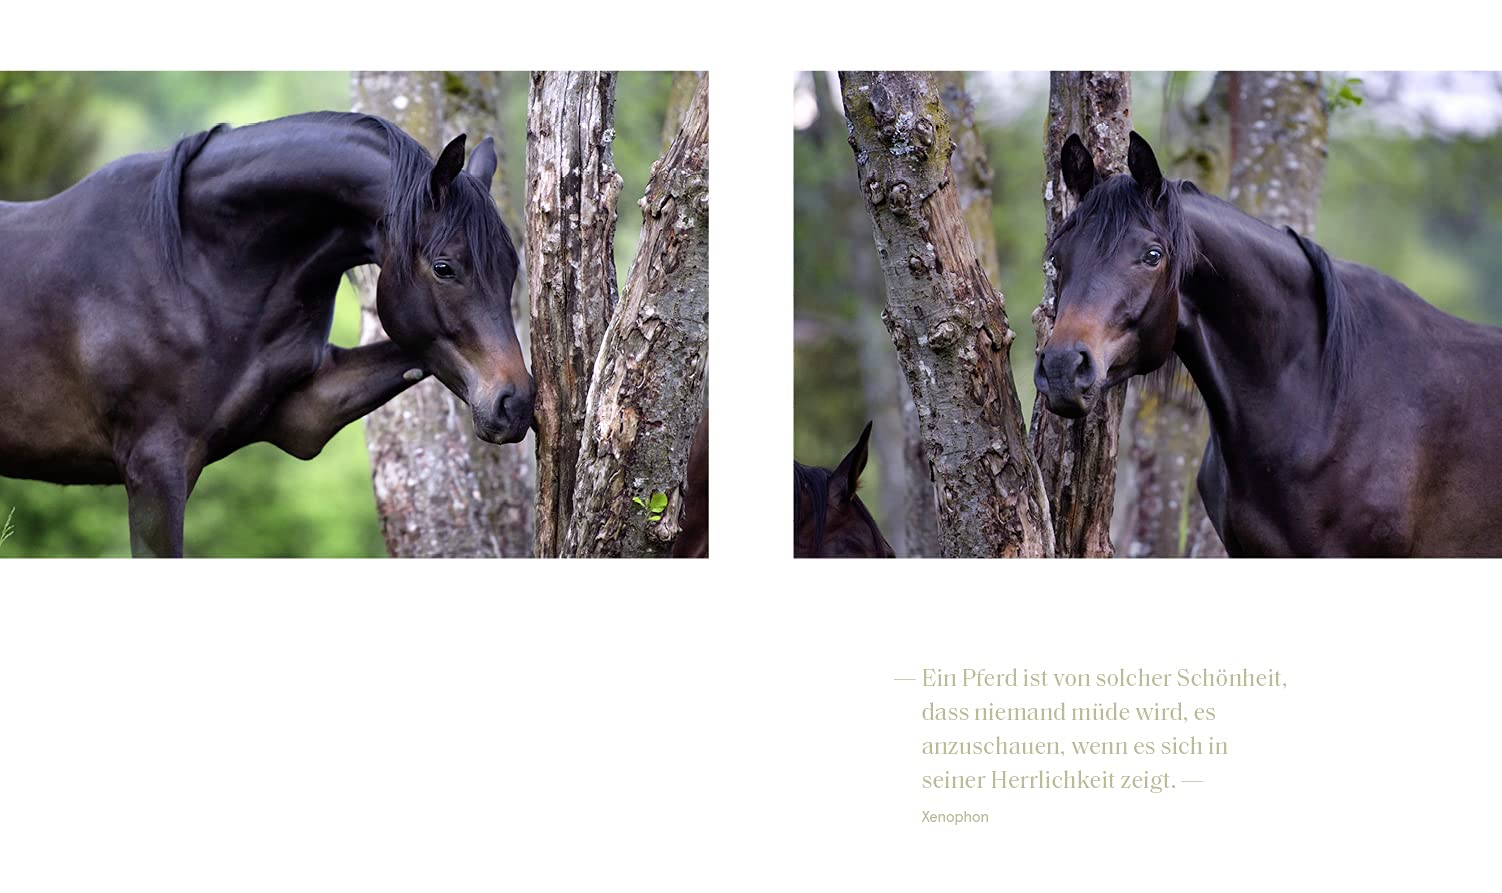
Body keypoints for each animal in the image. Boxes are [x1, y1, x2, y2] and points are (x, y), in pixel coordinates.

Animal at [0, 112, 534, 557]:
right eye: (445, 268)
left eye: (512, 269)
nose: (516, 403)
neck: (191, 265)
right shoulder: (154, 471)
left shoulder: (306, 414)